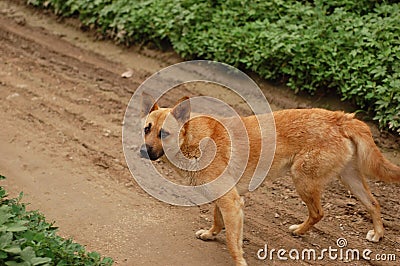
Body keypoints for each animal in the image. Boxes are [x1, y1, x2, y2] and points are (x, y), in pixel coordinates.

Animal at [139, 94, 398, 266]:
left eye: (164, 133)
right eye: (146, 129)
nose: (143, 152)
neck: (192, 141)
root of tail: (341, 117)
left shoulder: (232, 203)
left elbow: (233, 242)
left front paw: (238, 261)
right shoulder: (225, 200)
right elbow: (217, 220)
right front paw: (211, 234)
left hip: (302, 179)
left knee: (319, 213)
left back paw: (300, 230)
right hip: (349, 179)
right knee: (374, 203)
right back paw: (378, 233)